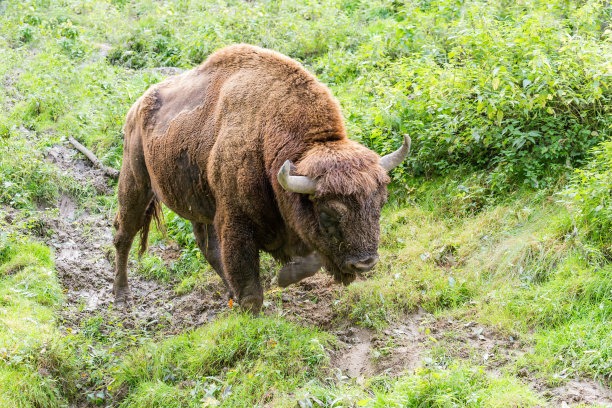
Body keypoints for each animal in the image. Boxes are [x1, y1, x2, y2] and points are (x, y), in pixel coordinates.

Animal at [115, 43, 412, 312]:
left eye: (380, 204)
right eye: (329, 213)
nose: (365, 264)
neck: (267, 132)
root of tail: (135, 109)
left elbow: (310, 259)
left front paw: (284, 277)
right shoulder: (236, 224)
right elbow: (250, 286)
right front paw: (254, 307)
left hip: (199, 201)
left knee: (206, 246)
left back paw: (228, 292)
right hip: (136, 181)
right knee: (124, 234)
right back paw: (122, 295)